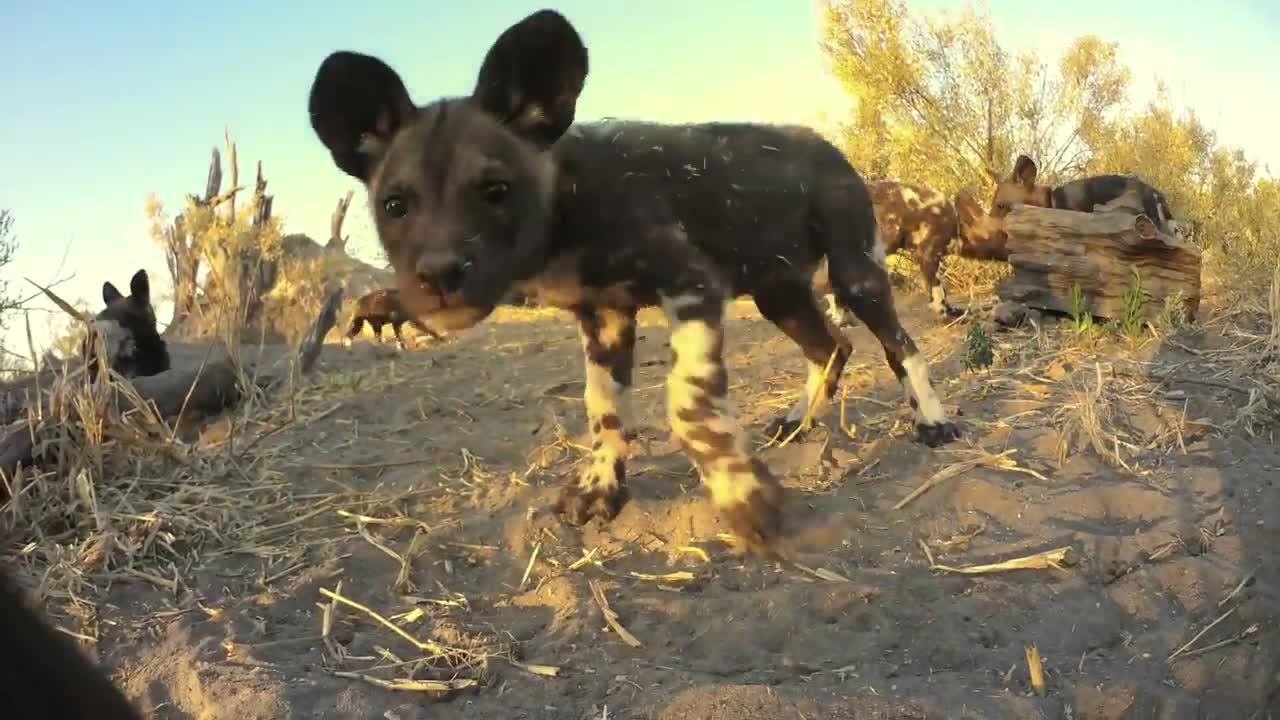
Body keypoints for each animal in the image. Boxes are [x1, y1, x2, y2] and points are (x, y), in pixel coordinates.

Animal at [302, 8, 962, 550]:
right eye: (395, 205)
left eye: (496, 191)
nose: (440, 274)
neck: (568, 204)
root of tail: (829, 143)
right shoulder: (605, 319)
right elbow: (605, 413)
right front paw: (601, 489)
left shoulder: (692, 284)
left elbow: (687, 404)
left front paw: (743, 497)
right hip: (777, 291)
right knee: (831, 347)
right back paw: (799, 422)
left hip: (856, 275)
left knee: (901, 346)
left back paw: (931, 421)